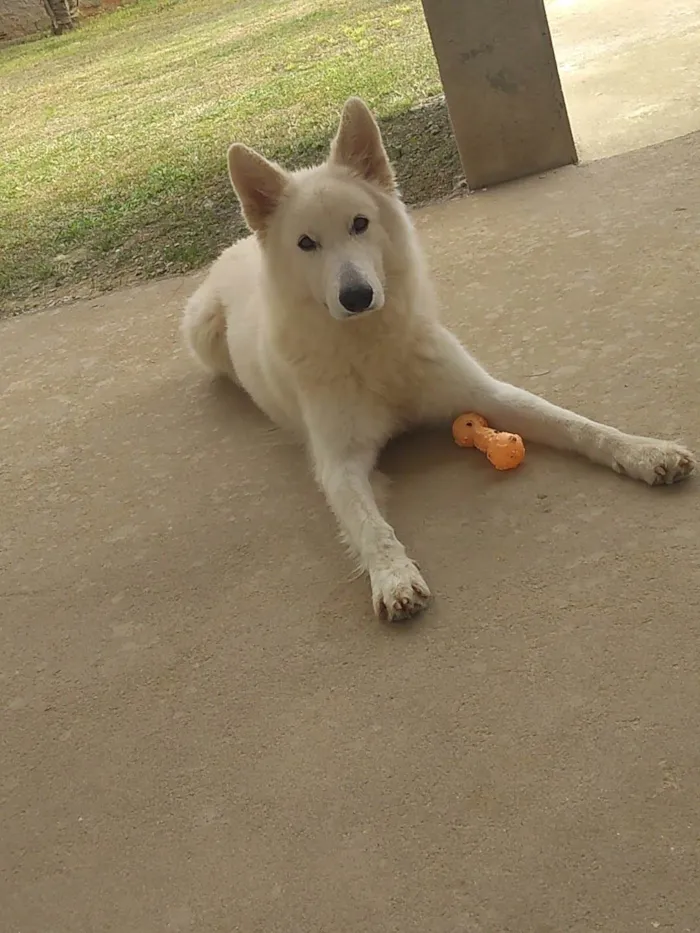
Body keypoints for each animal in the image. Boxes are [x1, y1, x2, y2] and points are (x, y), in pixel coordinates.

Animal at [182, 96, 696, 620]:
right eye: (307, 243)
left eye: (359, 223)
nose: (357, 296)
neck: (373, 346)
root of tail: (237, 246)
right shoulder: (338, 462)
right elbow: (369, 526)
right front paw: (393, 577)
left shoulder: (487, 394)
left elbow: (576, 423)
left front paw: (644, 451)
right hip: (201, 332)